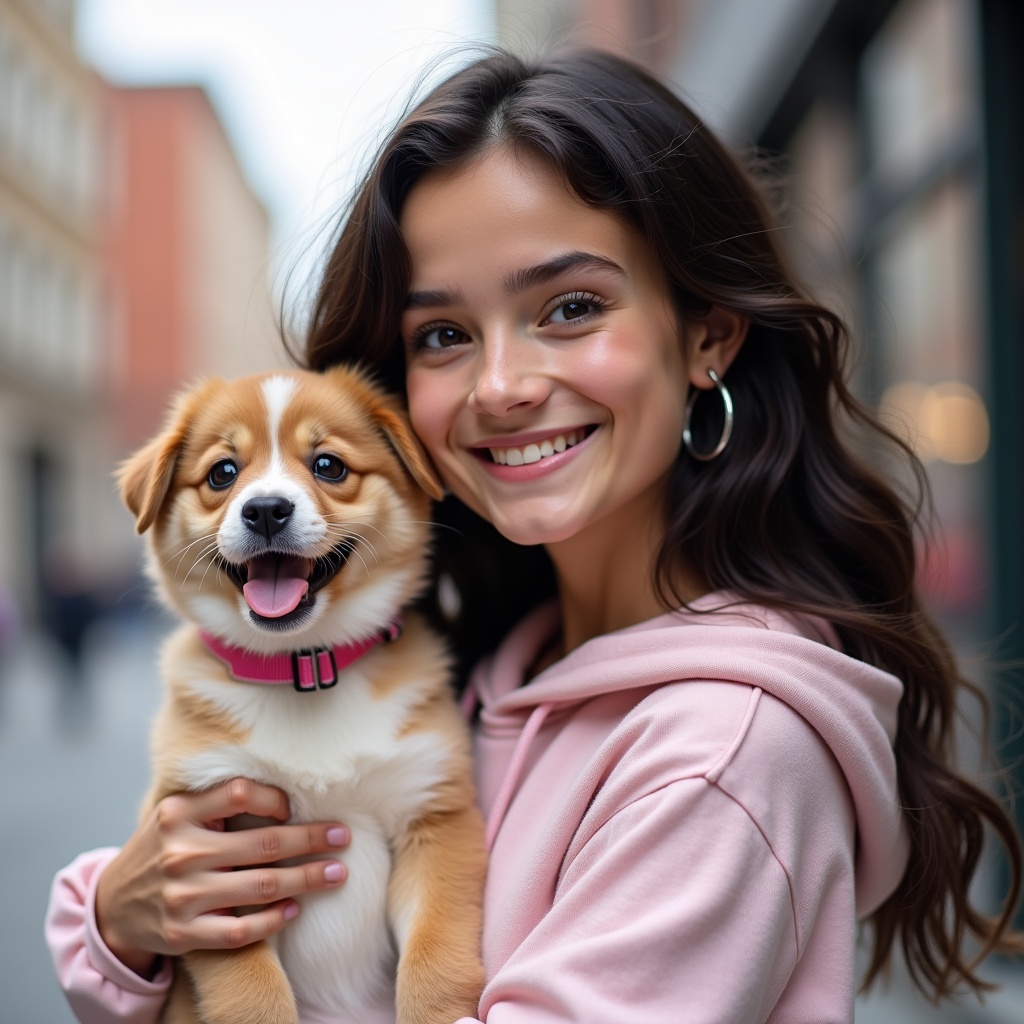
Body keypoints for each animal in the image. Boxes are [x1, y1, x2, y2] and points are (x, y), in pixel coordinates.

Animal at [117, 368, 485, 1024]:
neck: (302, 669)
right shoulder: (208, 853)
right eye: (222, 473)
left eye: (328, 465)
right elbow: (252, 992)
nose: (266, 510)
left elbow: (433, 964)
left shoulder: (435, 816)